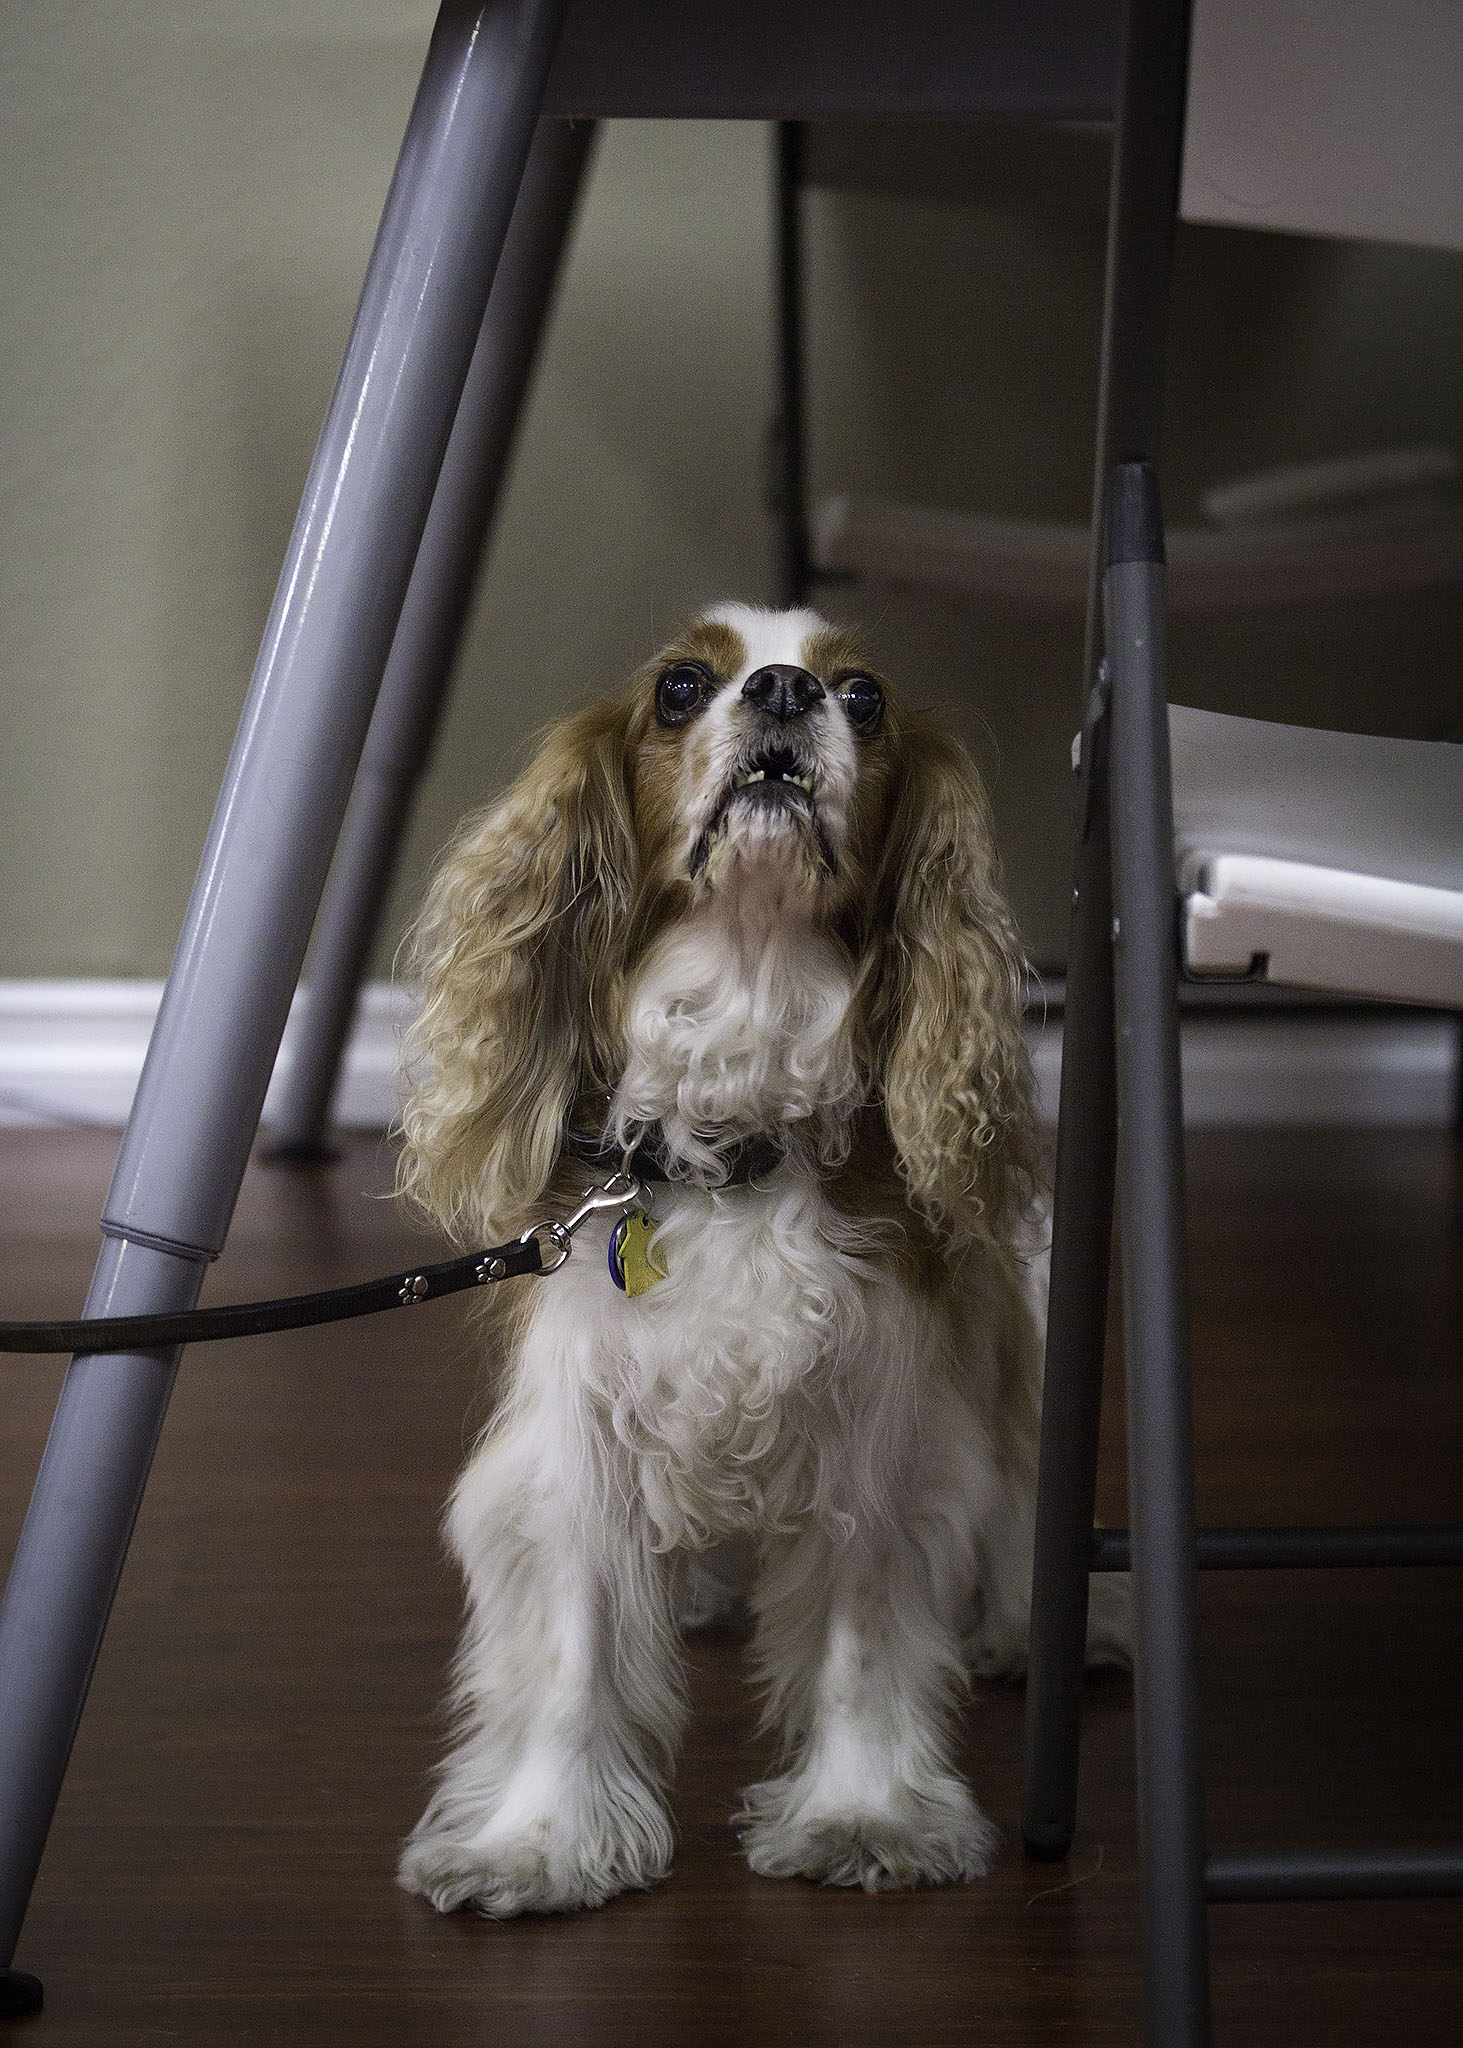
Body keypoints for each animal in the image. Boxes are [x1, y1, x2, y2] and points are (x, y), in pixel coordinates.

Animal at [395, 602, 1127, 1917]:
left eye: (865, 695)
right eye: (681, 686)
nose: (786, 691)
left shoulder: (875, 1414)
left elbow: (858, 1642)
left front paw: (862, 1815)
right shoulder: (583, 1426)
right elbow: (571, 1654)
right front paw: (536, 1841)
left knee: (1017, 1468)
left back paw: (1038, 1625)